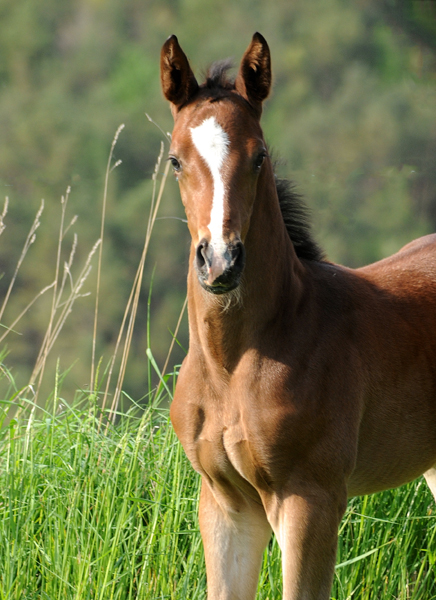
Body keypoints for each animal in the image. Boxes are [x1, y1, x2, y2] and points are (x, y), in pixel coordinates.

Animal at [160, 34, 436, 600]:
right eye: (175, 160)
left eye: (259, 156)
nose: (220, 261)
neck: (232, 362)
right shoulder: (225, 504)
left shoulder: (310, 498)